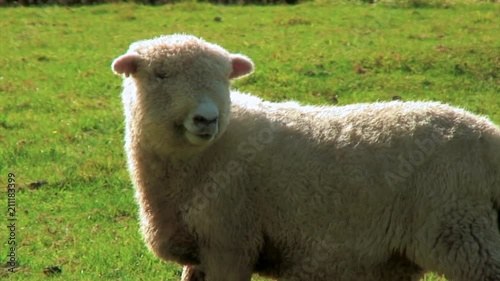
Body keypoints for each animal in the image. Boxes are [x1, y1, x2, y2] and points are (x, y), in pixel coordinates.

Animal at [111, 34, 500, 280]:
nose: (207, 118)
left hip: (464, 233)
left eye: (224, 79)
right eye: (161, 74)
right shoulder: (202, 255)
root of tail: (488, 133)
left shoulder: (230, 243)